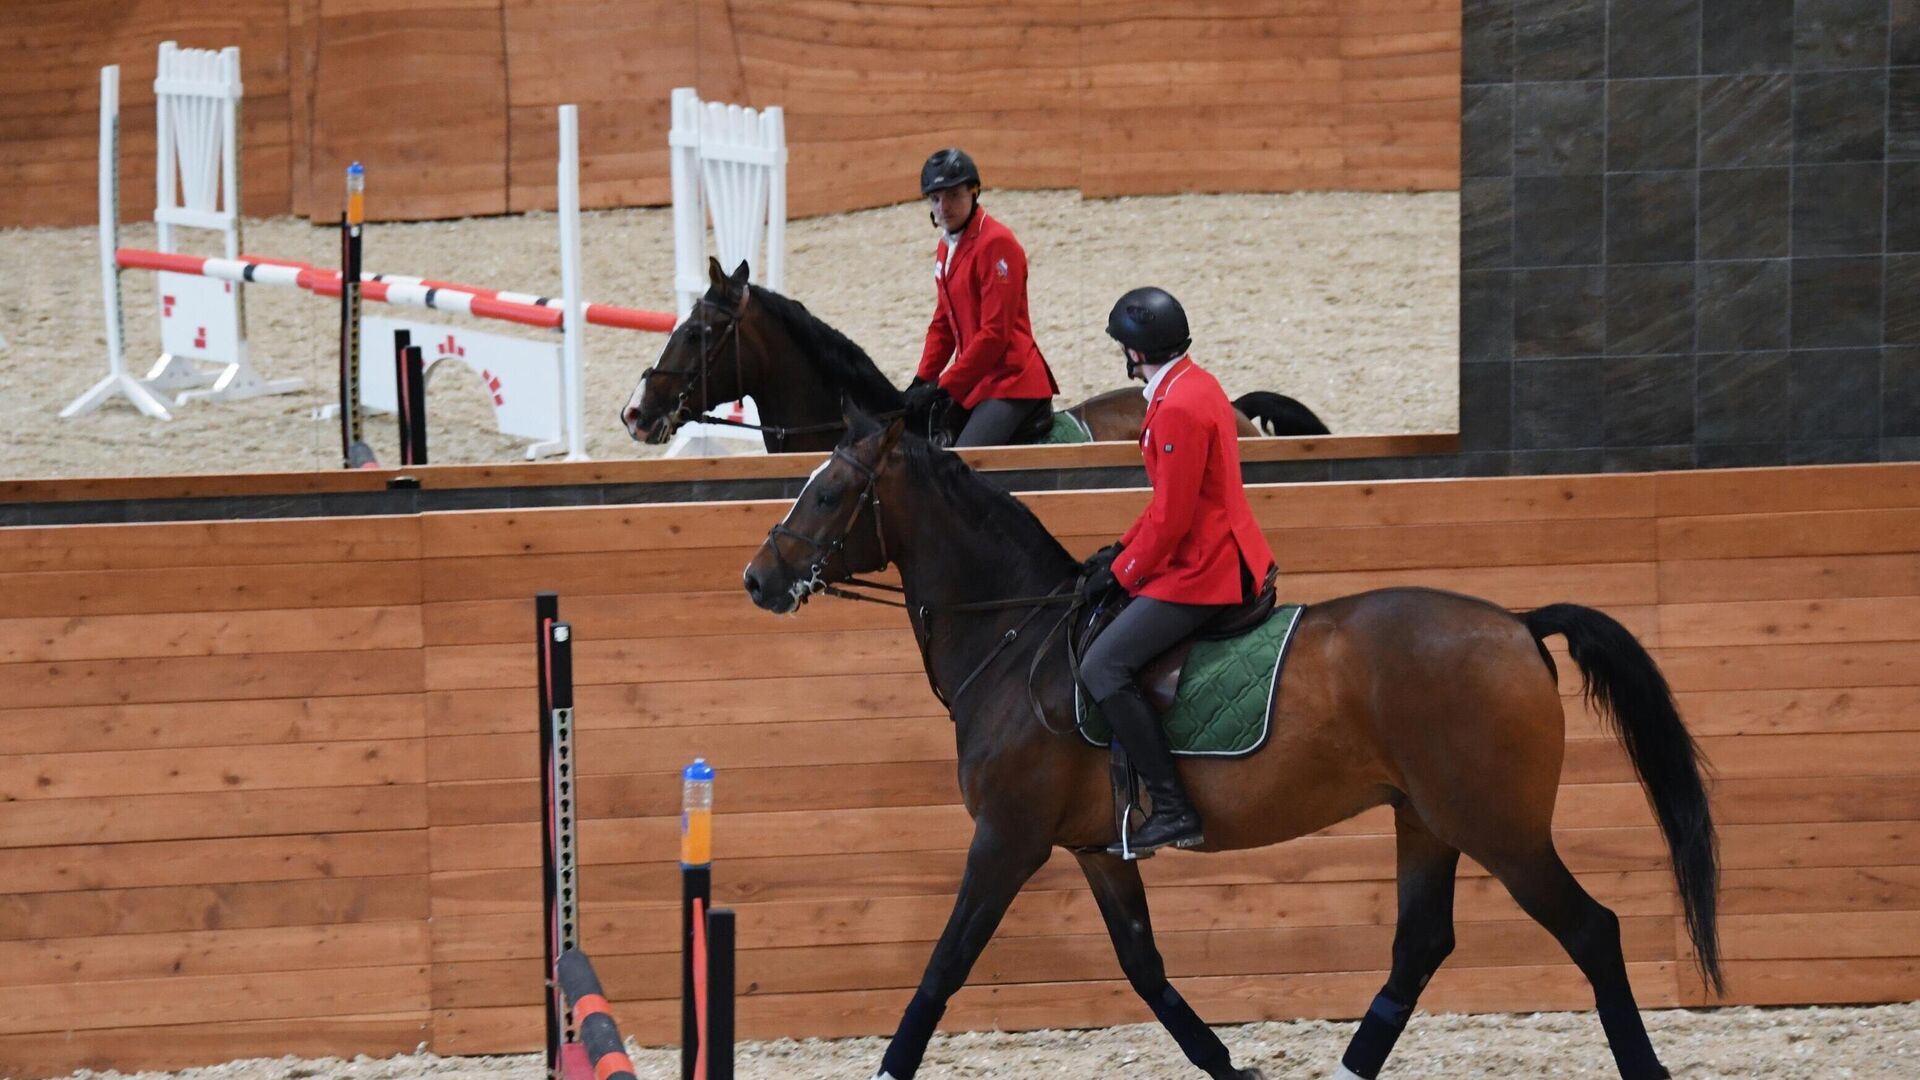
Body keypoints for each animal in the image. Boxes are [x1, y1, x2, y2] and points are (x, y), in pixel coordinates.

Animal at [737, 405, 1728, 1076]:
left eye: (830, 491)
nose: (756, 579)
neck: (1016, 639)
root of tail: (1517, 624)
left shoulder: (1006, 841)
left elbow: (944, 965)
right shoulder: (1094, 848)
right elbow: (1144, 967)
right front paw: (1226, 1066)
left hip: (1498, 828)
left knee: (1591, 932)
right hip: (1427, 820)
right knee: (1419, 947)